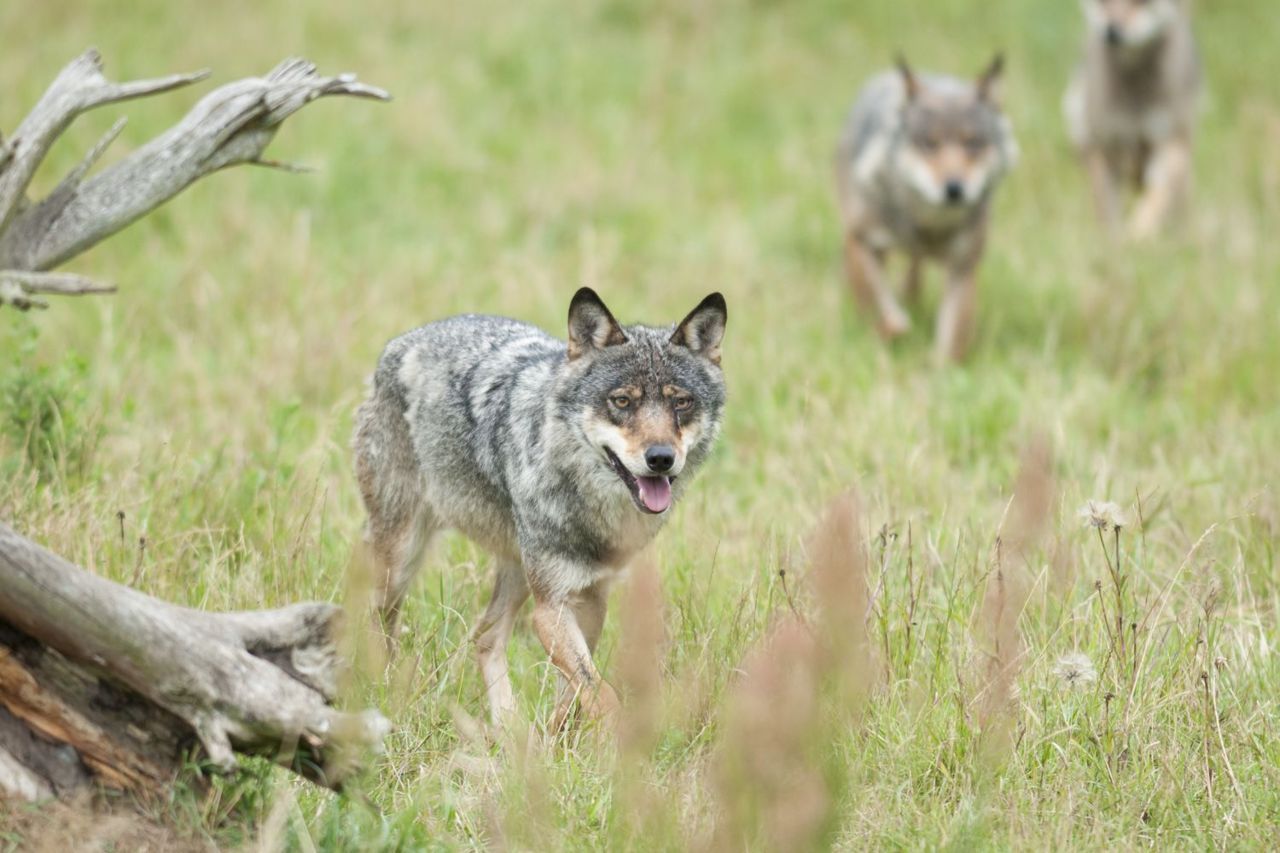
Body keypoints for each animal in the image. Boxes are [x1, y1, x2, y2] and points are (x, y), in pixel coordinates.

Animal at [355, 286, 727, 722]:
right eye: (621, 402)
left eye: (681, 403)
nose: (661, 458)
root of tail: (400, 342)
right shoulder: (551, 607)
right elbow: (601, 694)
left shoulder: (590, 597)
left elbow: (577, 695)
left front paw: (552, 736)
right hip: (399, 564)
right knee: (379, 624)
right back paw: (382, 697)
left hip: (516, 571)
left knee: (484, 636)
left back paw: (508, 728)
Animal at [834, 55, 1013, 361]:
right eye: (929, 144)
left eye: (973, 144)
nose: (954, 188)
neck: (927, 227)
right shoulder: (860, 239)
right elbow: (879, 305)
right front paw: (889, 328)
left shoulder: (963, 266)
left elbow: (952, 338)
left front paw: (941, 369)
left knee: (914, 268)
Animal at [1059, 0, 1198, 239]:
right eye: (1104, 3)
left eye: (1140, 3)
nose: (1112, 31)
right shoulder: (1107, 151)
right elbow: (1108, 212)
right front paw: (1114, 242)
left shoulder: (1170, 143)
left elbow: (1155, 200)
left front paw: (1139, 234)